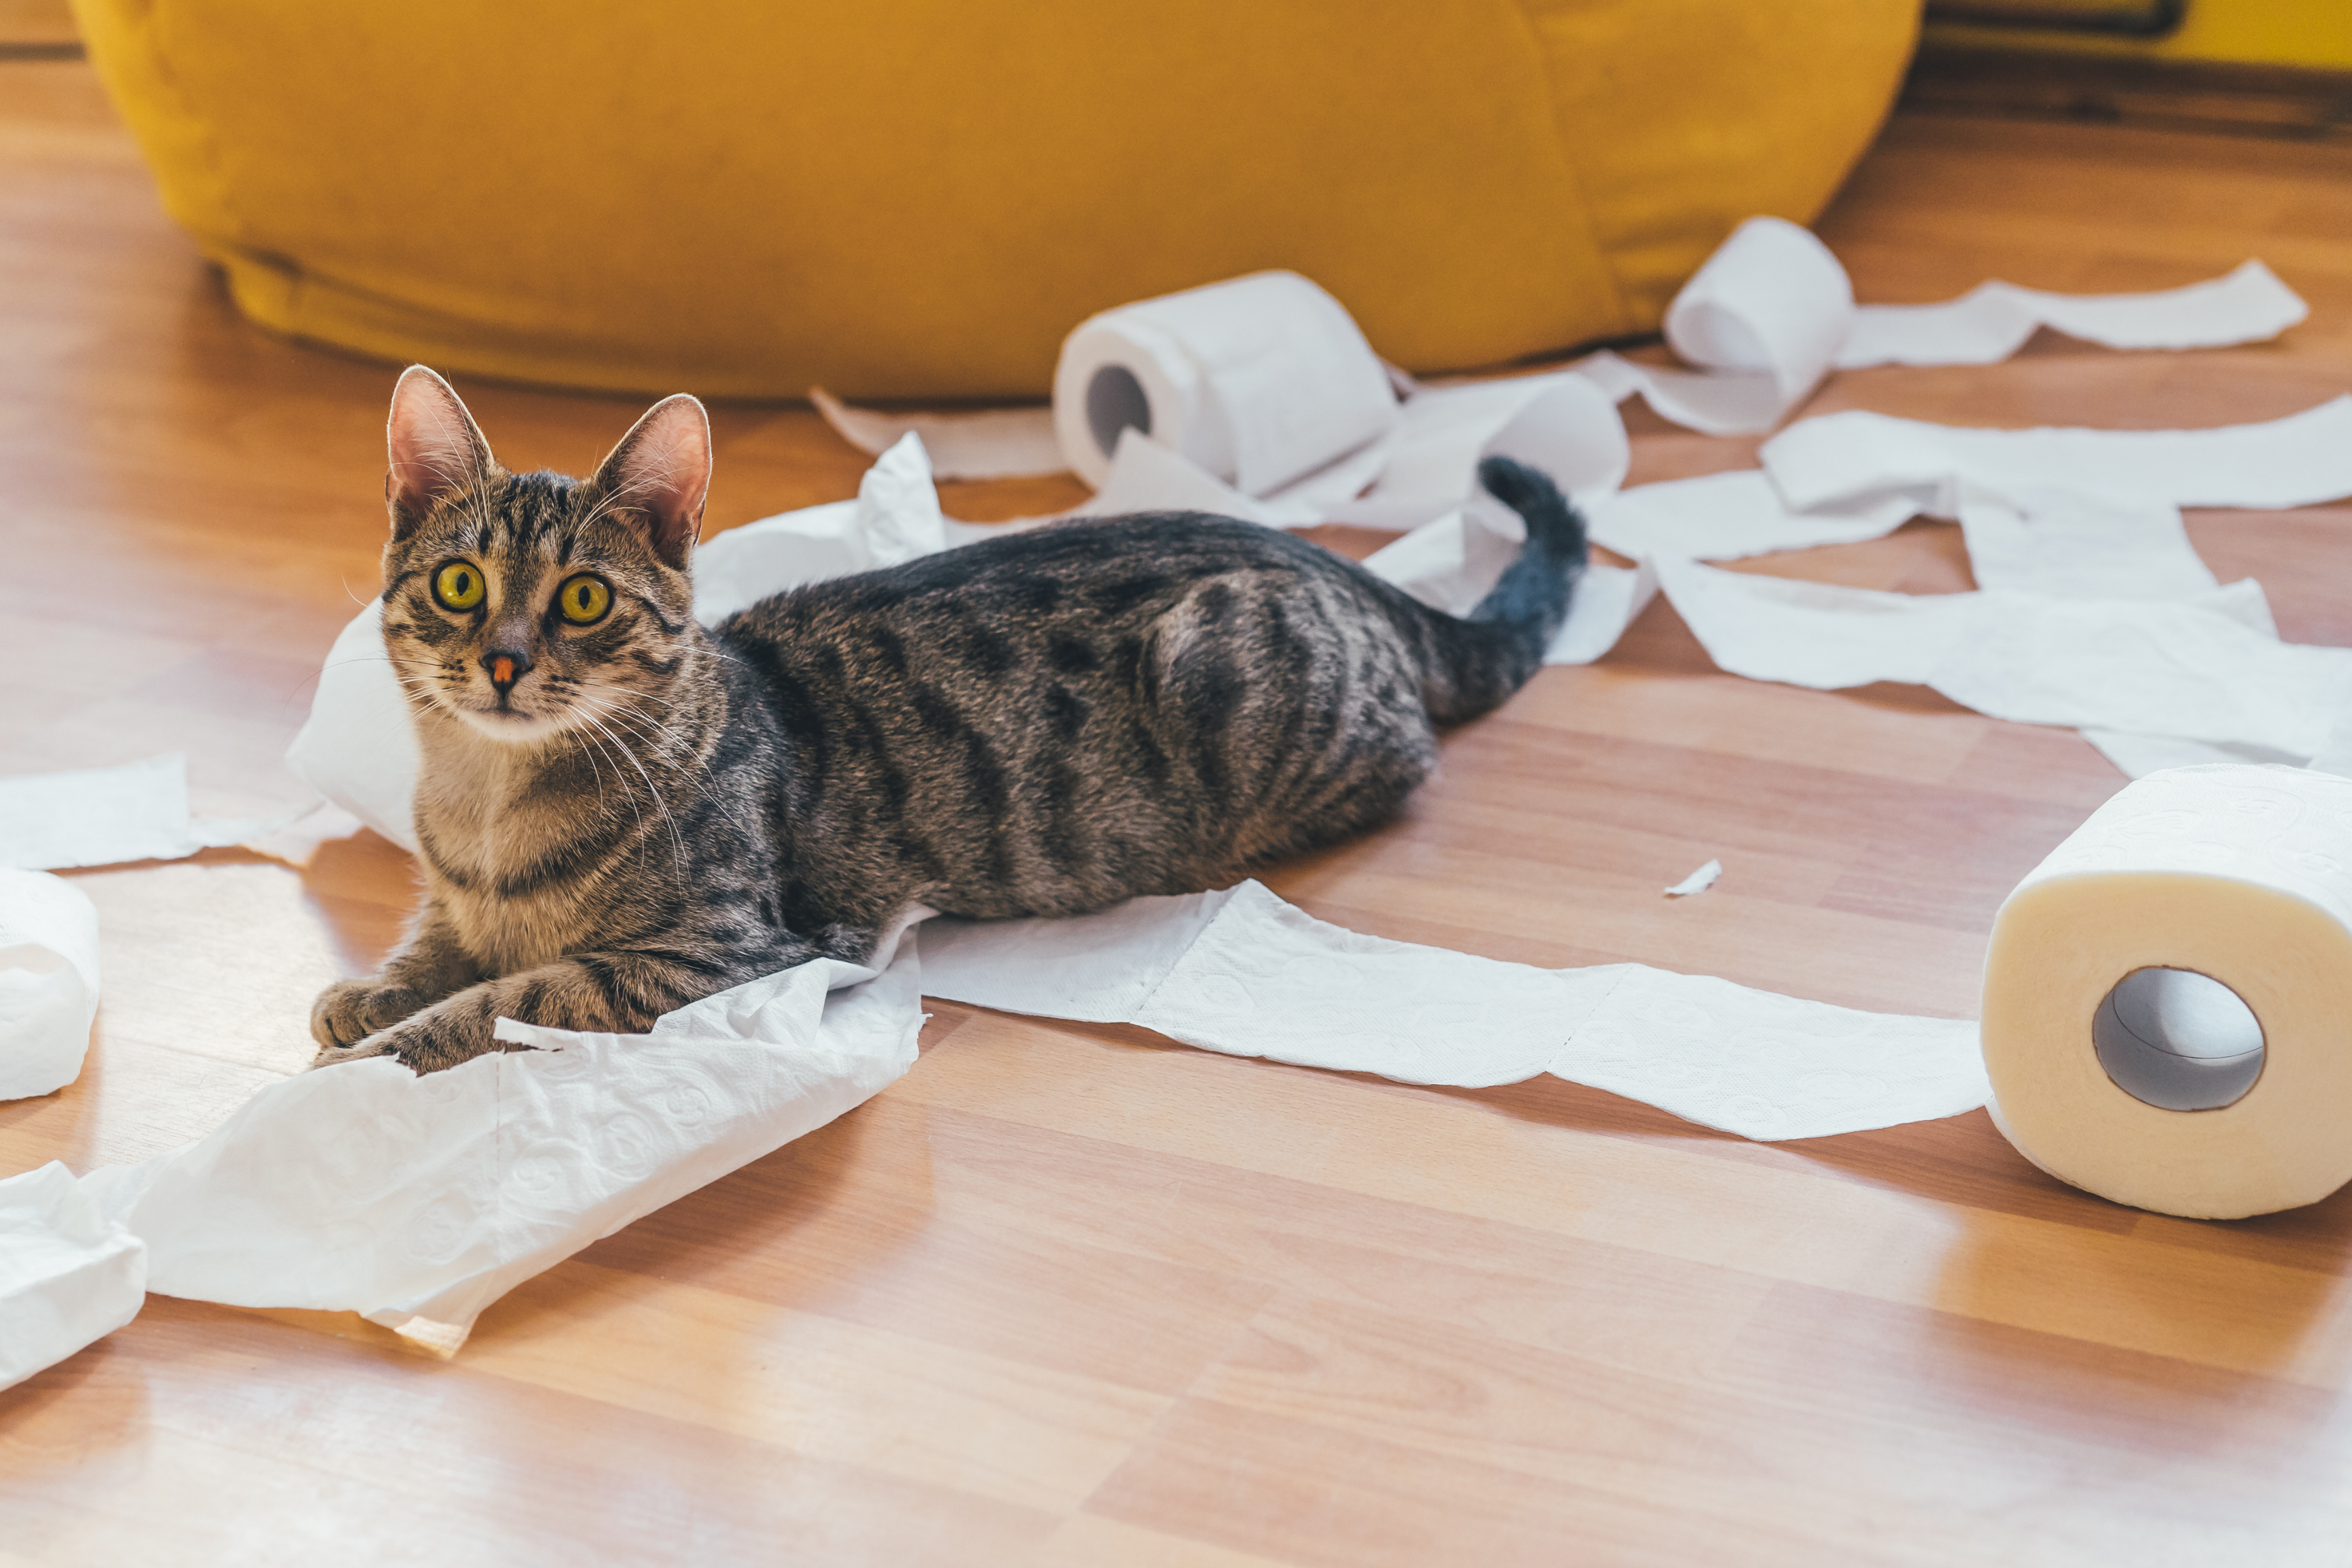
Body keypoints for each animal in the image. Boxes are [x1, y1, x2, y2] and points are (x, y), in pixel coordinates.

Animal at [308, 361, 1580, 1072]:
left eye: (582, 598)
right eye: (459, 584)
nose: (503, 663)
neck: (486, 805)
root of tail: (1340, 563)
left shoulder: (717, 952)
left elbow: (514, 995)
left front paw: (383, 1047)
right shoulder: (460, 902)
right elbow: (433, 949)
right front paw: (364, 993)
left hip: (1225, 672)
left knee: (1406, 761)